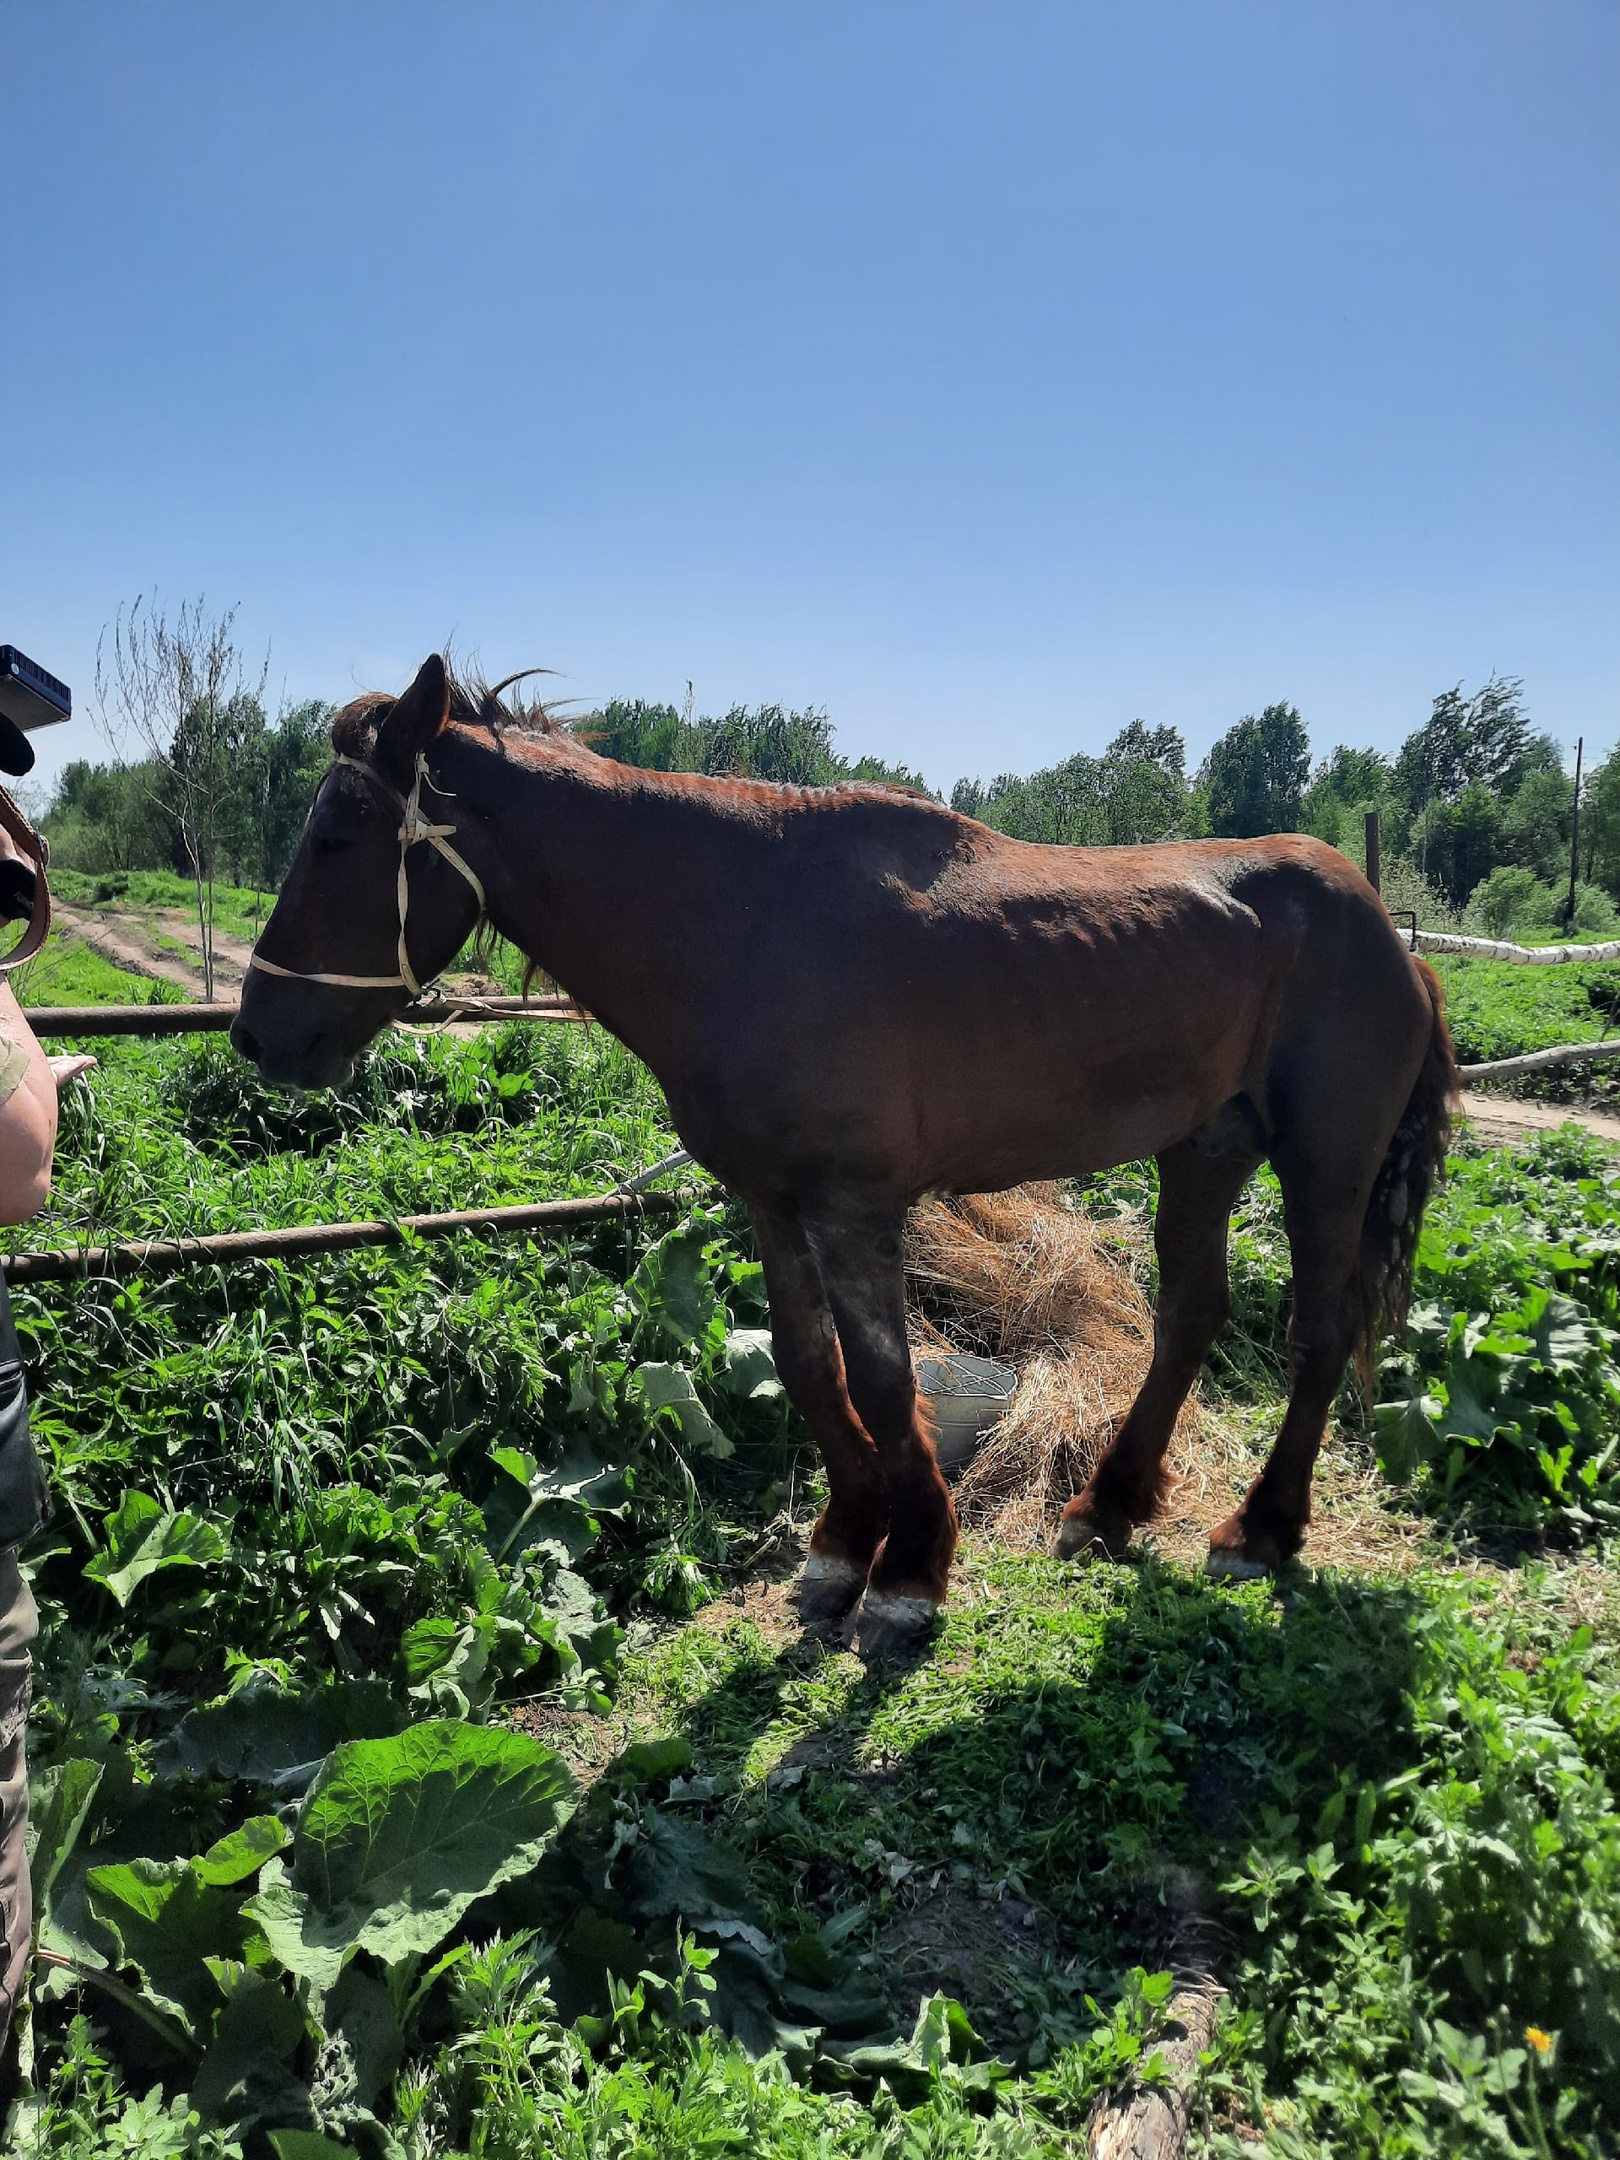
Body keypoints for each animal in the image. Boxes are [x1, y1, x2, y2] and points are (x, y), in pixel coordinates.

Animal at [234, 656, 1468, 1650]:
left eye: (336, 838)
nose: (257, 1035)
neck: (743, 925)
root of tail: (1386, 930)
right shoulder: (773, 1204)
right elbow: (808, 1364)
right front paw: (843, 1544)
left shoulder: (857, 1208)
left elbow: (882, 1377)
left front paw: (911, 1569)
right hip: (1205, 1151)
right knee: (1191, 1315)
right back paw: (1110, 1502)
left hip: (1325, 1167)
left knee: (1319, 1333)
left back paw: (1262, 1528)